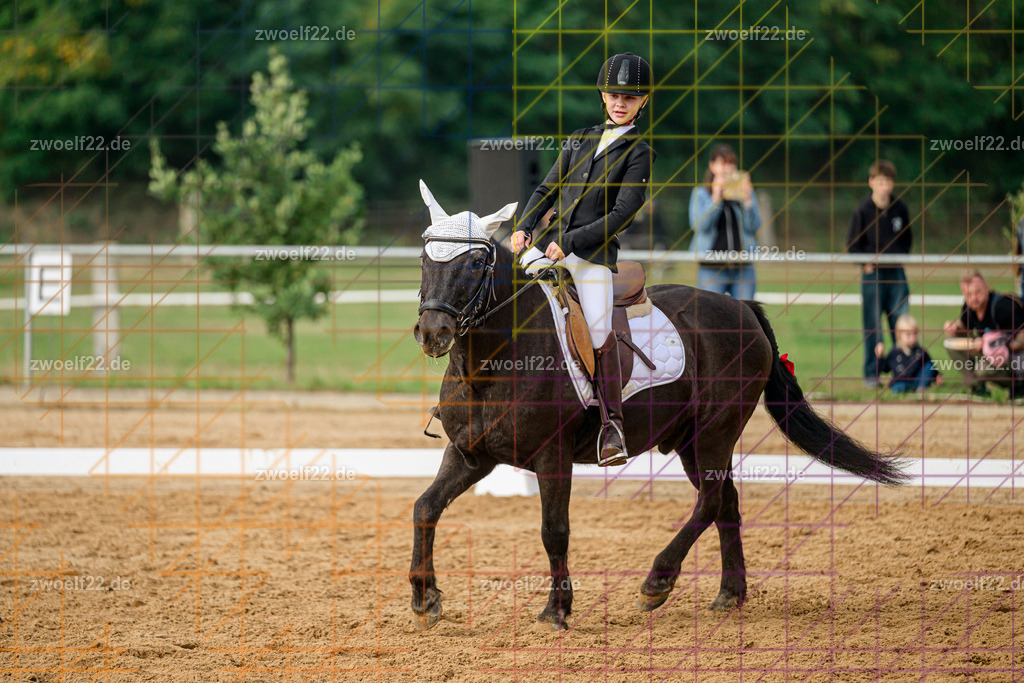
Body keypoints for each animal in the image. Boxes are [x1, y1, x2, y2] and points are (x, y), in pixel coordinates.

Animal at [409, 182, 906, 631]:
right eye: (424, 259)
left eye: (476, 262)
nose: (433, 332)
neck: (488, 367)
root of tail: (742, 308)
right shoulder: (470, 454)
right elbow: (425, 507)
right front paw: (425, 600)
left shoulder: (553, 456)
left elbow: (555, 530)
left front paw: (556, 611)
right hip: (690, 441)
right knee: (726, 503)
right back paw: (729, 595)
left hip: (714, 431)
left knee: (710, 501)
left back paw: (657, 583)